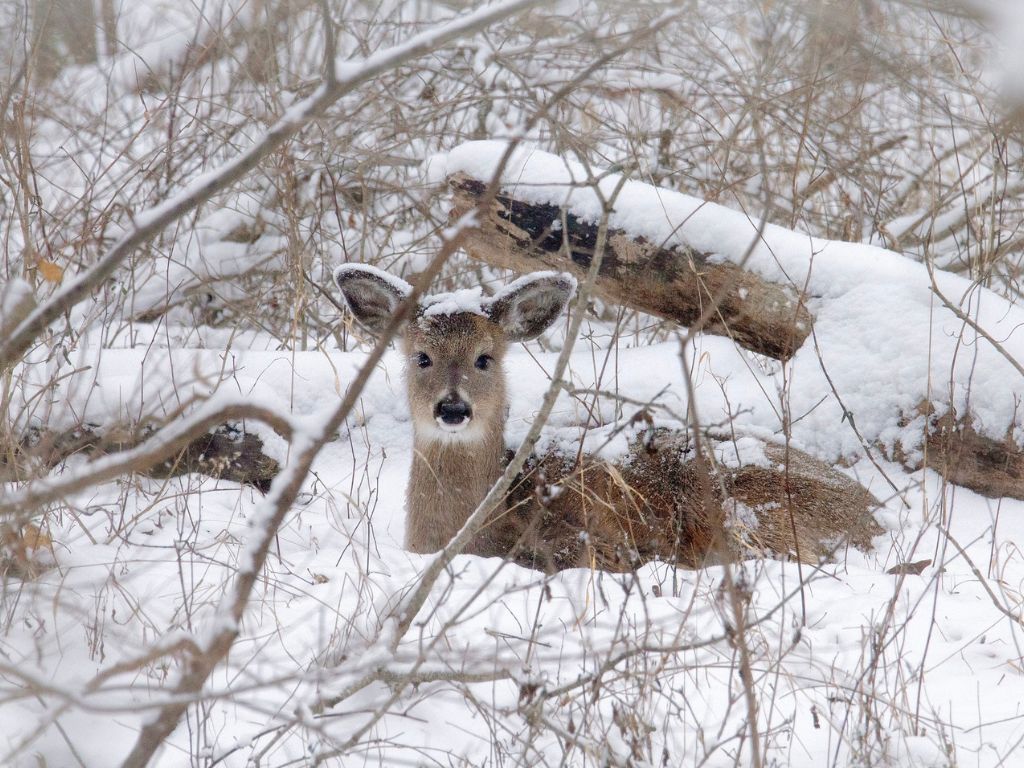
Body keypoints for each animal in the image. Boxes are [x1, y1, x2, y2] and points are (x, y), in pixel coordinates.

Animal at [333, 264, 880, 573]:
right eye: (420, 357)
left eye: (485, 359)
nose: (452, 408)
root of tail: (876, 517)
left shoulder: (588, 542)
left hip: (742, 508)